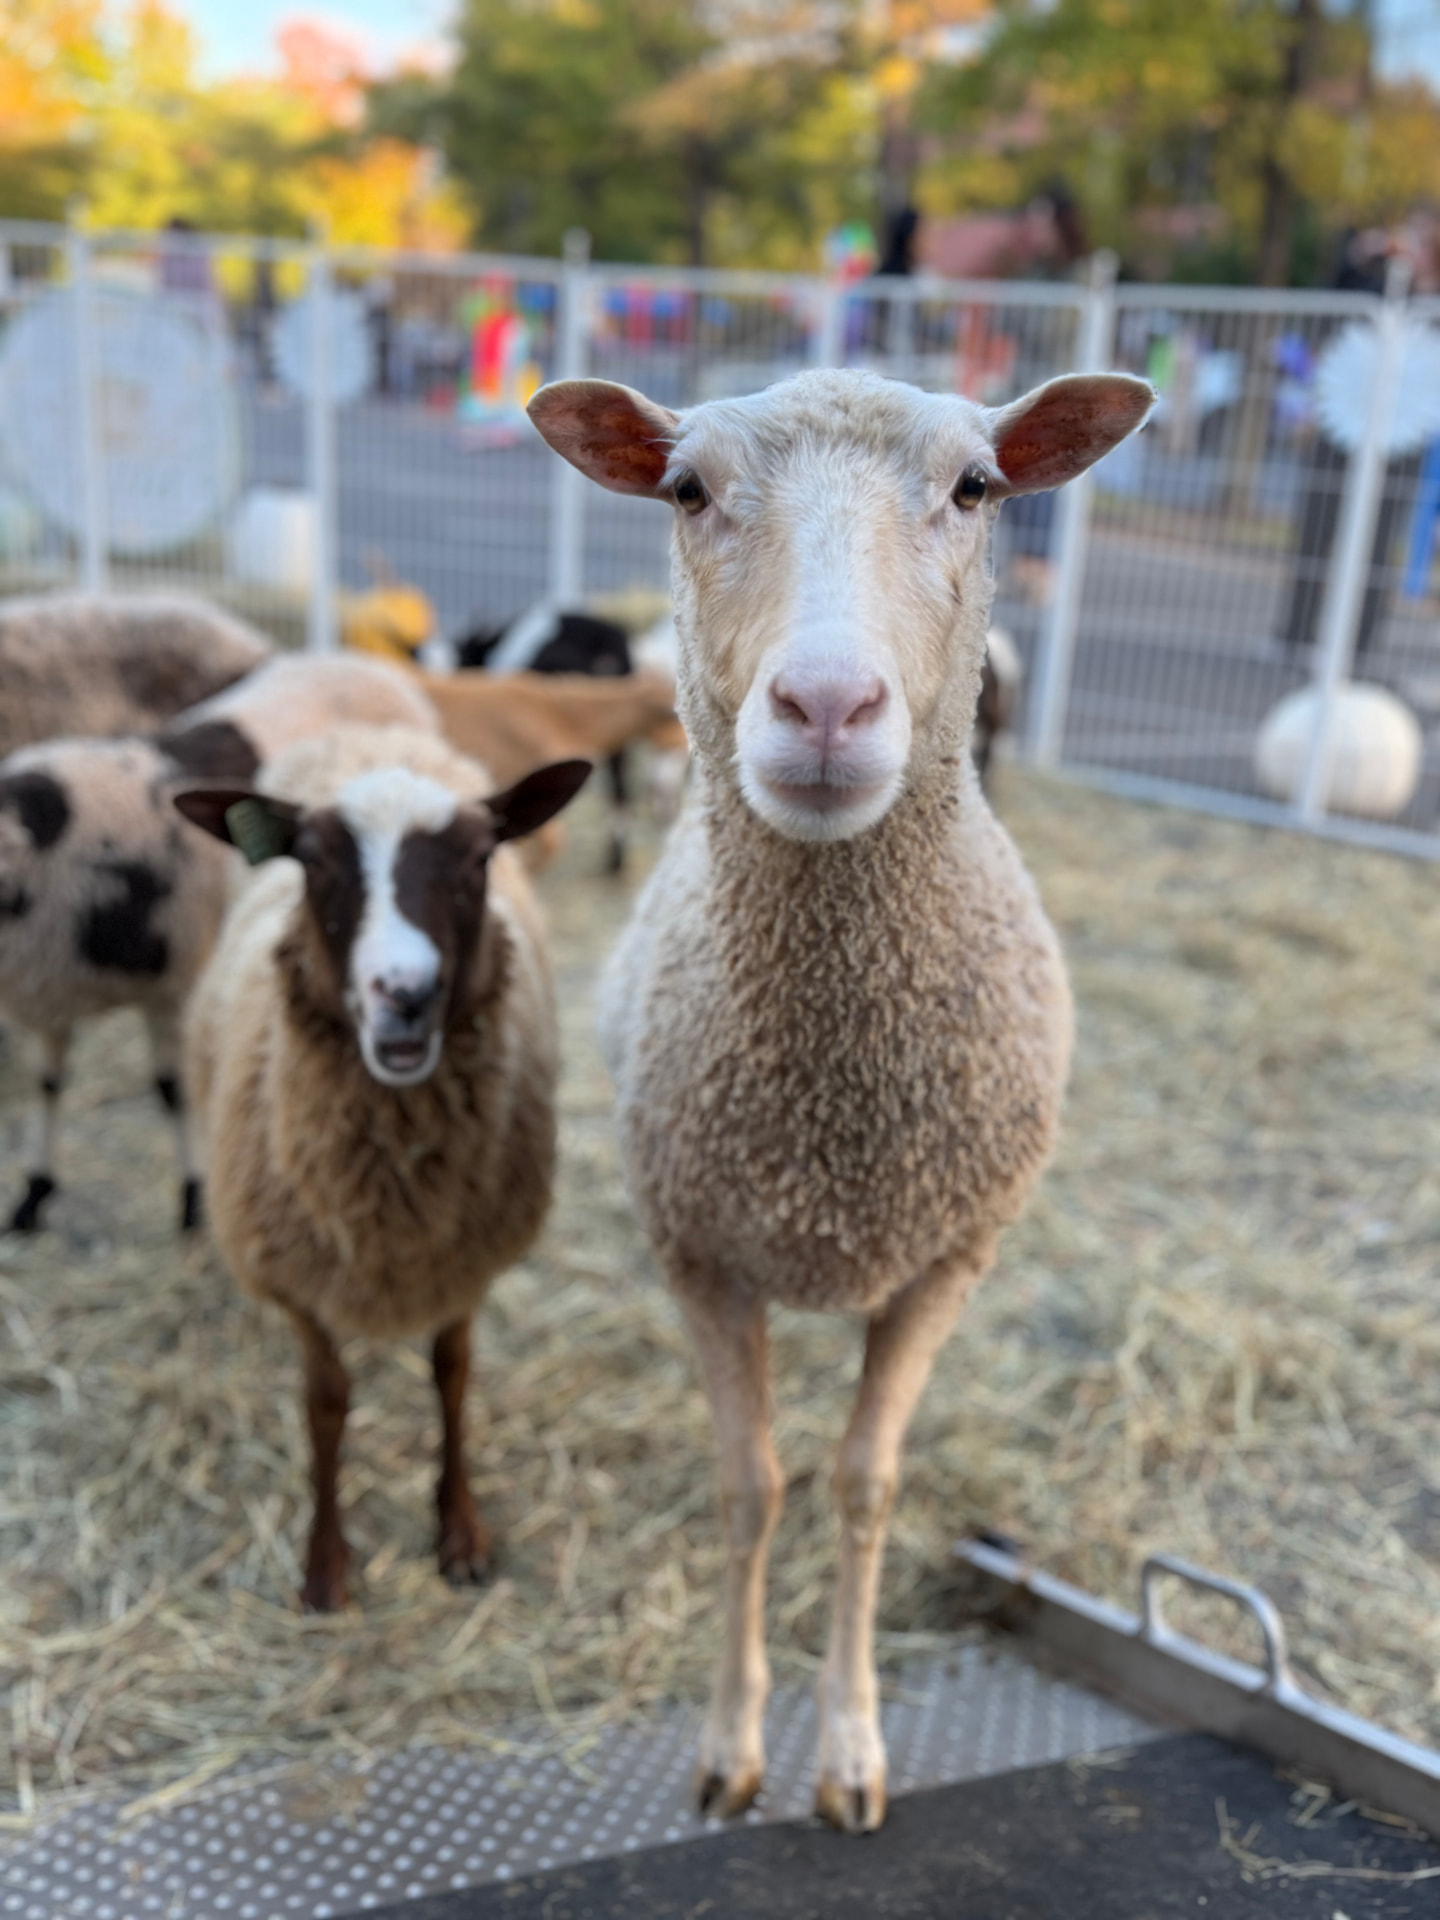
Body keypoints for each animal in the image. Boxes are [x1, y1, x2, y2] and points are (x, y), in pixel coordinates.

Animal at [0, 657, 440, 1234]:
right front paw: (33, 1194)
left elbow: (172, 1089)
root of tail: (369, 665)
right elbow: (47, 1086)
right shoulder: (50, 988)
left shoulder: (173, 984)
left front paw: (193, 1197)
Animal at [174, 726, 591, 1612]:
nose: (405, 992)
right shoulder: (297, 1279)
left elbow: (452, 1374)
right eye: (310, 861)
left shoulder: (463, 1260)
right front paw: (325, 1565)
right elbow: (326, 1403)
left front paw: (459, 1531)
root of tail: (370, 731)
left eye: (479, 858)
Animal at [528, 366, 1152, 1832]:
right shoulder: (701, 1255)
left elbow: (862, 1487)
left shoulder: (949, 1258)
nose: (824, 709)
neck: (833, 1109)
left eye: (976, 487)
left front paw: (854, 1748)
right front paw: (731, 1740)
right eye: (686, 489)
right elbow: (750, 1490)